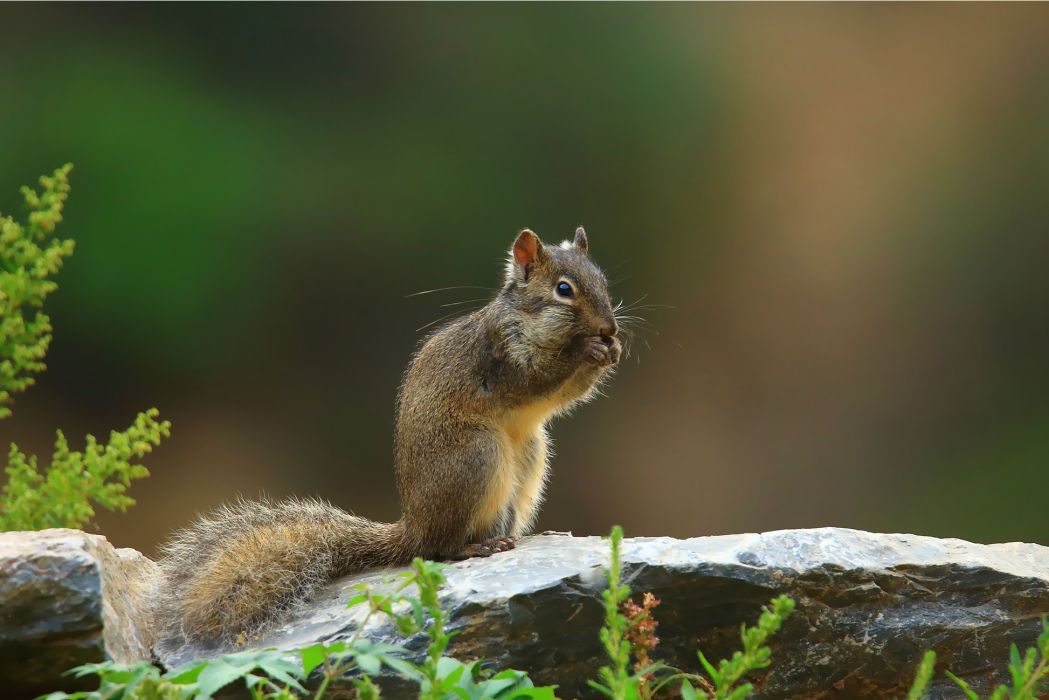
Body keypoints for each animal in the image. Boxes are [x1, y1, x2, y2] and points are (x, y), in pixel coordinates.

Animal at [155, 228, 621, 650]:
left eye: (604, 280)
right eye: (563, 290)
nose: (610, 328)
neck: (529, 321)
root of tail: (414, 528)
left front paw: (611, 351)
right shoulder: (500, 358)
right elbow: (537, 379)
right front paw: (589, 352)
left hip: (527, 465)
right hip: (477, 457)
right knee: (440, 548)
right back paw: (471, 548)